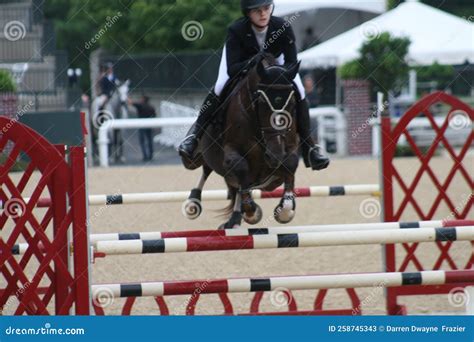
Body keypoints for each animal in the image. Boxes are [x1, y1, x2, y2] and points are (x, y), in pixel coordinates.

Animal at [182, 54, 298, 228]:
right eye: (261, 102)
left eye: (291, 103)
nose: (275, 156)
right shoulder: (231, 151)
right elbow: (241, 167)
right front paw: (252, 213)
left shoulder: (289, 148)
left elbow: (290, 163)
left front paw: (285, 210)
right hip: (193, 159)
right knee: (207, 169)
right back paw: (194, 201)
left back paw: (234, 218)